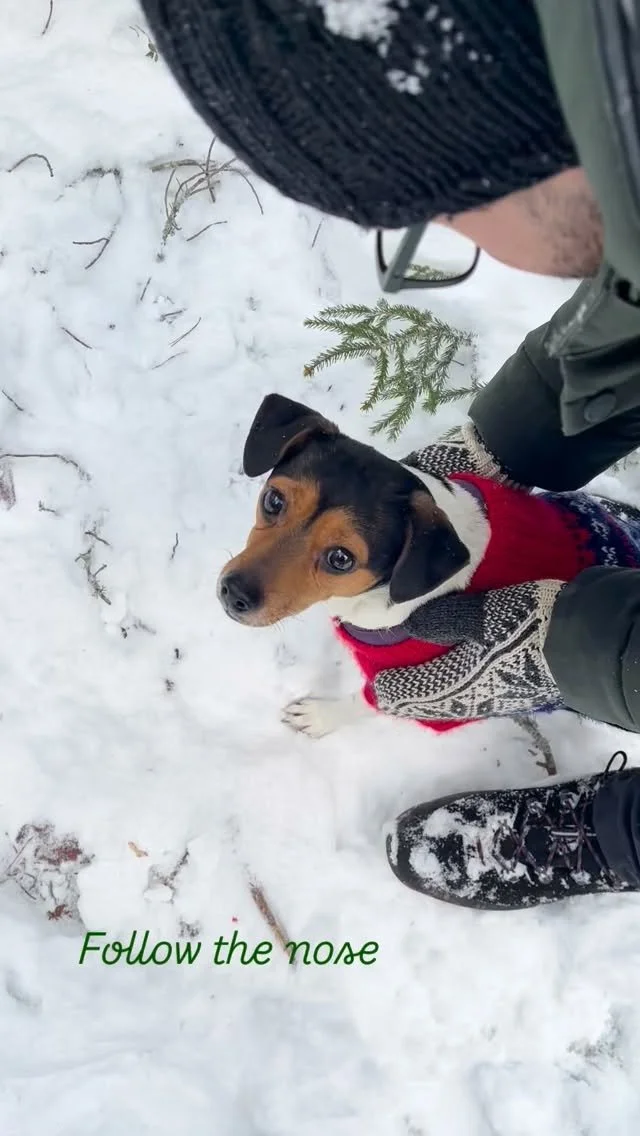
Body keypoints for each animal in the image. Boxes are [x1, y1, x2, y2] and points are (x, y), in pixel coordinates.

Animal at [218, 393, 640, 738]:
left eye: (341, 558)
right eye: (273, 501)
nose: (233, 593)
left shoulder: (421, 690)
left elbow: (366, 701)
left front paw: (320, 718)